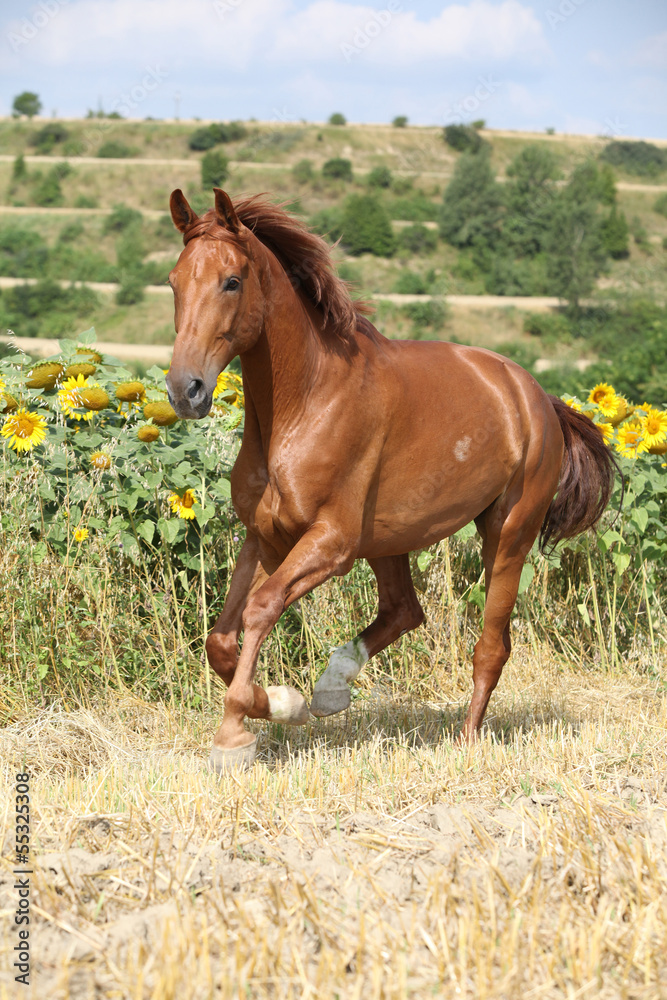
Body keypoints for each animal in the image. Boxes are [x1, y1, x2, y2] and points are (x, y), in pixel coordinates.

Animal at [165, 187, 616, 772]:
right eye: (174, 281)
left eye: (232, 281)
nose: (186, 390)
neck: (306, 401)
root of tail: (538, 396)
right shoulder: (265, 535)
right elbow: (221, 638)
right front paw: (287, 703)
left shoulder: (331, 543)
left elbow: (261, 608)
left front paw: (234, 735)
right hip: (389, 538)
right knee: (405, 609)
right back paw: (332, 688)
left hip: (507, 535)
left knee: (491, 645)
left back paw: (465, 742)